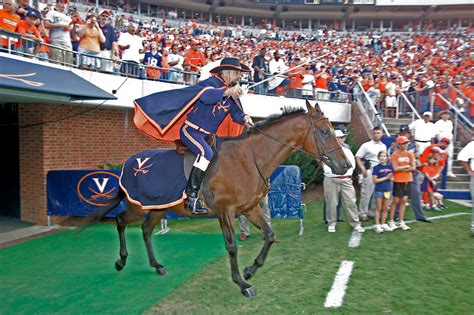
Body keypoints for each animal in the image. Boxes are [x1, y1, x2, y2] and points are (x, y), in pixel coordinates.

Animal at [82, 102, 352, 298]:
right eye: (324, 132)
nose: (345, 166)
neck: (248, 158)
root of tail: (131, 162)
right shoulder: (226, 212)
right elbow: (231, 246)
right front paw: (242, 283)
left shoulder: (250, 209)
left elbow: (270, 235)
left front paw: (250, 270)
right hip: (138, 206)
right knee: (120, 221)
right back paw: (121, 261)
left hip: (158, 207)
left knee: (147, 230)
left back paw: (157, 265)